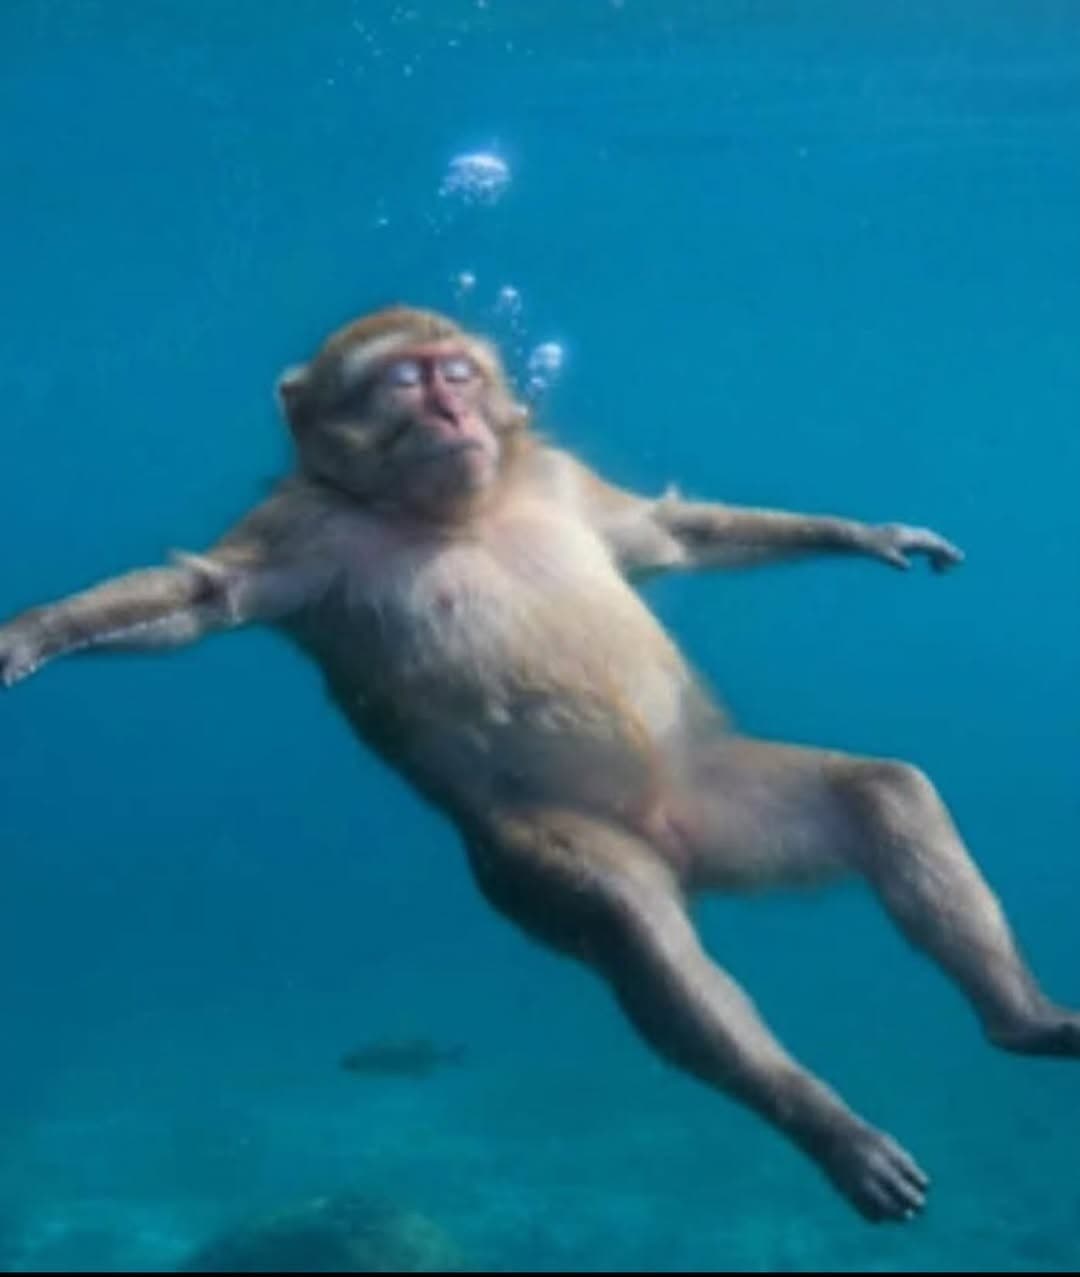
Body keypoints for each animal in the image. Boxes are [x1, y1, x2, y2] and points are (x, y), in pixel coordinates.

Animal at [2, 303, 1077, 1225]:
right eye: (402, 379)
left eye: (457, 373)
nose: (449, 409)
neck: (454, 511)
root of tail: (678, 838)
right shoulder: (298, 531)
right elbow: (198, 598)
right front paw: (34, 632)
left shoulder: (554, 476)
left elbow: (669, 532)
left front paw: (872, 535)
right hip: (529, 852)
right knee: (626, 914)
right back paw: (828, 1122)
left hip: (714, 793)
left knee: (882, 790)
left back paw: (1022, 1020)